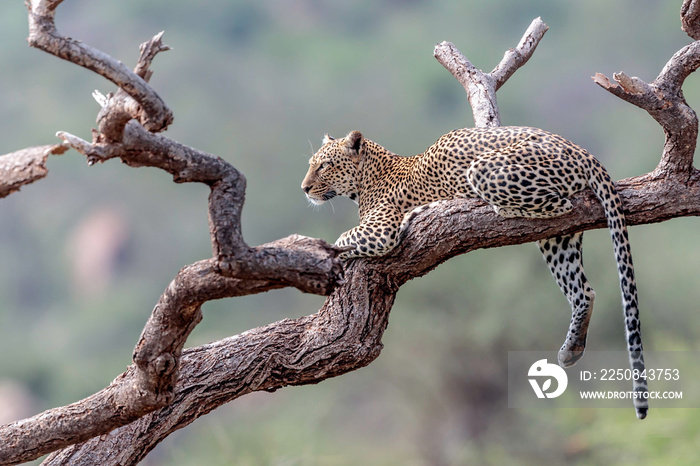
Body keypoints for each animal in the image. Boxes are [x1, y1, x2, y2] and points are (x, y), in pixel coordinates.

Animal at [300, 126, 652, 418]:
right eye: (311, 163)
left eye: (324, 165)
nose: (304, 188)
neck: (367, 178)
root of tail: (580, 149)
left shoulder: (381, 231)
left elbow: (342, 239)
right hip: (559, 240)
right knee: (584, 290)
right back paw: (572, 349)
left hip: (485, 170)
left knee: (560, 204)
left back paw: (486, 207)